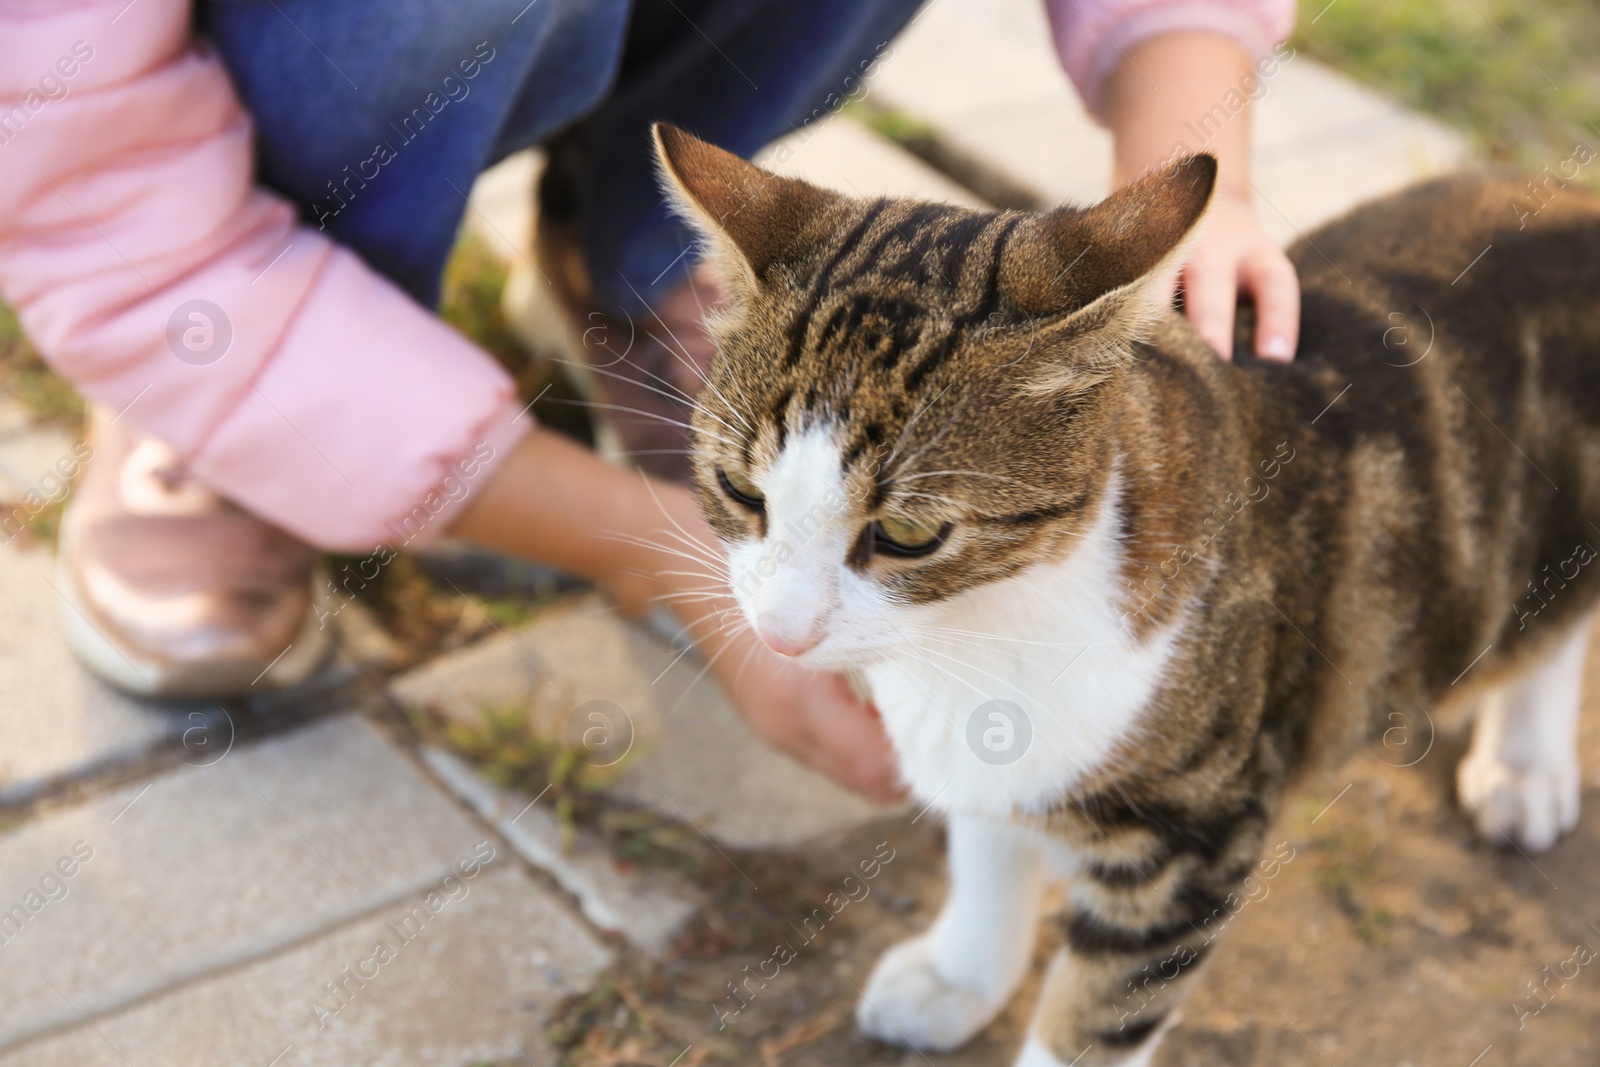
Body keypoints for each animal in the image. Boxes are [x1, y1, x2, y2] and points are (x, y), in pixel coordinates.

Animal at [649, 120, 1600, 1062]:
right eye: (741, 491)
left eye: (909, 534)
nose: (781, 631)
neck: (979, 624)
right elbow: (987, 845)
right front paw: (961, 974)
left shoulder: (1194, 838)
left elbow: (1100, 1012)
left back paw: (1526, 759)